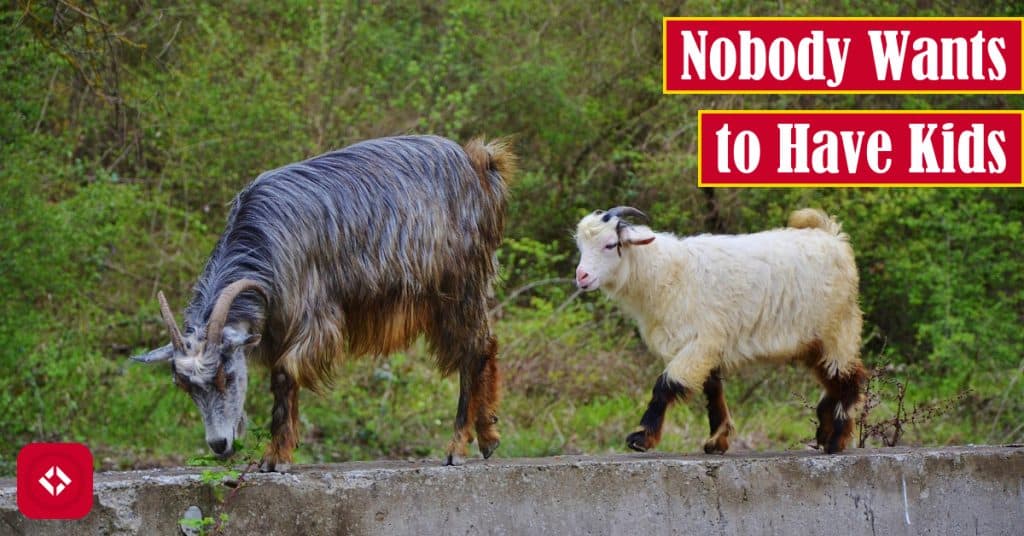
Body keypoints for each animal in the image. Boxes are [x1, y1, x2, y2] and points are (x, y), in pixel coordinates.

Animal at [132, 135, 514, 469]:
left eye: (227, 374)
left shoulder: (312, 315)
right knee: (486, 345)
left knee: (473, 350)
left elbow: (285, 375)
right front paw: (283, 450)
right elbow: (282, 383)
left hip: (458, 287)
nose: (219, 445)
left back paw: (458, 446)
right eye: (184, 386)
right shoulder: (277, 326)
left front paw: (275, 456)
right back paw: (488, 436)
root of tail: (477, 164)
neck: (263, 242)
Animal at [574, 206, 866, 455]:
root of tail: (831, 235)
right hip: (814, 341)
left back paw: (837, 440)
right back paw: (825, 431)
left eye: (610, 244)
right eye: (581, 246)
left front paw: (642, 438)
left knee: (851, 378)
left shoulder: (702, 340)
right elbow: (713, 391)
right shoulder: (706, 347)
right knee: (833, 379)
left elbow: (665, 385)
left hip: (838, 329)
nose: (582, 276)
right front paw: (717, 441)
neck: (667, 274)